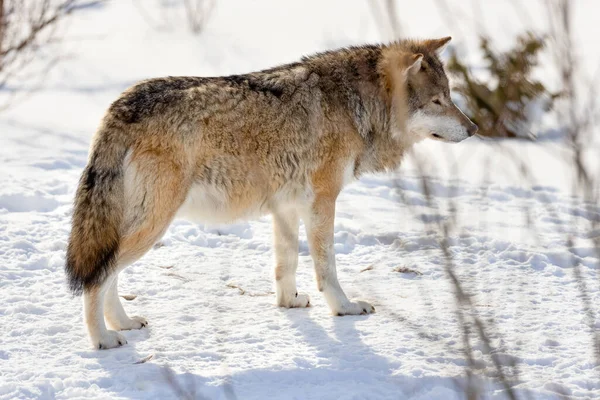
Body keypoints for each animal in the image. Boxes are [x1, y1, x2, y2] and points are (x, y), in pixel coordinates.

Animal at [65, 38, 478, 350]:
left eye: (449, 96)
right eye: (438, 101)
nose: (474, 129)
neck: (355, 105)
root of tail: (120, 106)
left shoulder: (287, 206)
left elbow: (286, 264)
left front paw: (289, 303)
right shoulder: (322, 201)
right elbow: (326, 267)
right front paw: (344, 308)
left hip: (135, 223)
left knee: (109, 272)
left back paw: (123, 324)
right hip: (153, 224)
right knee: (98, 277)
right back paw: (102, 339)